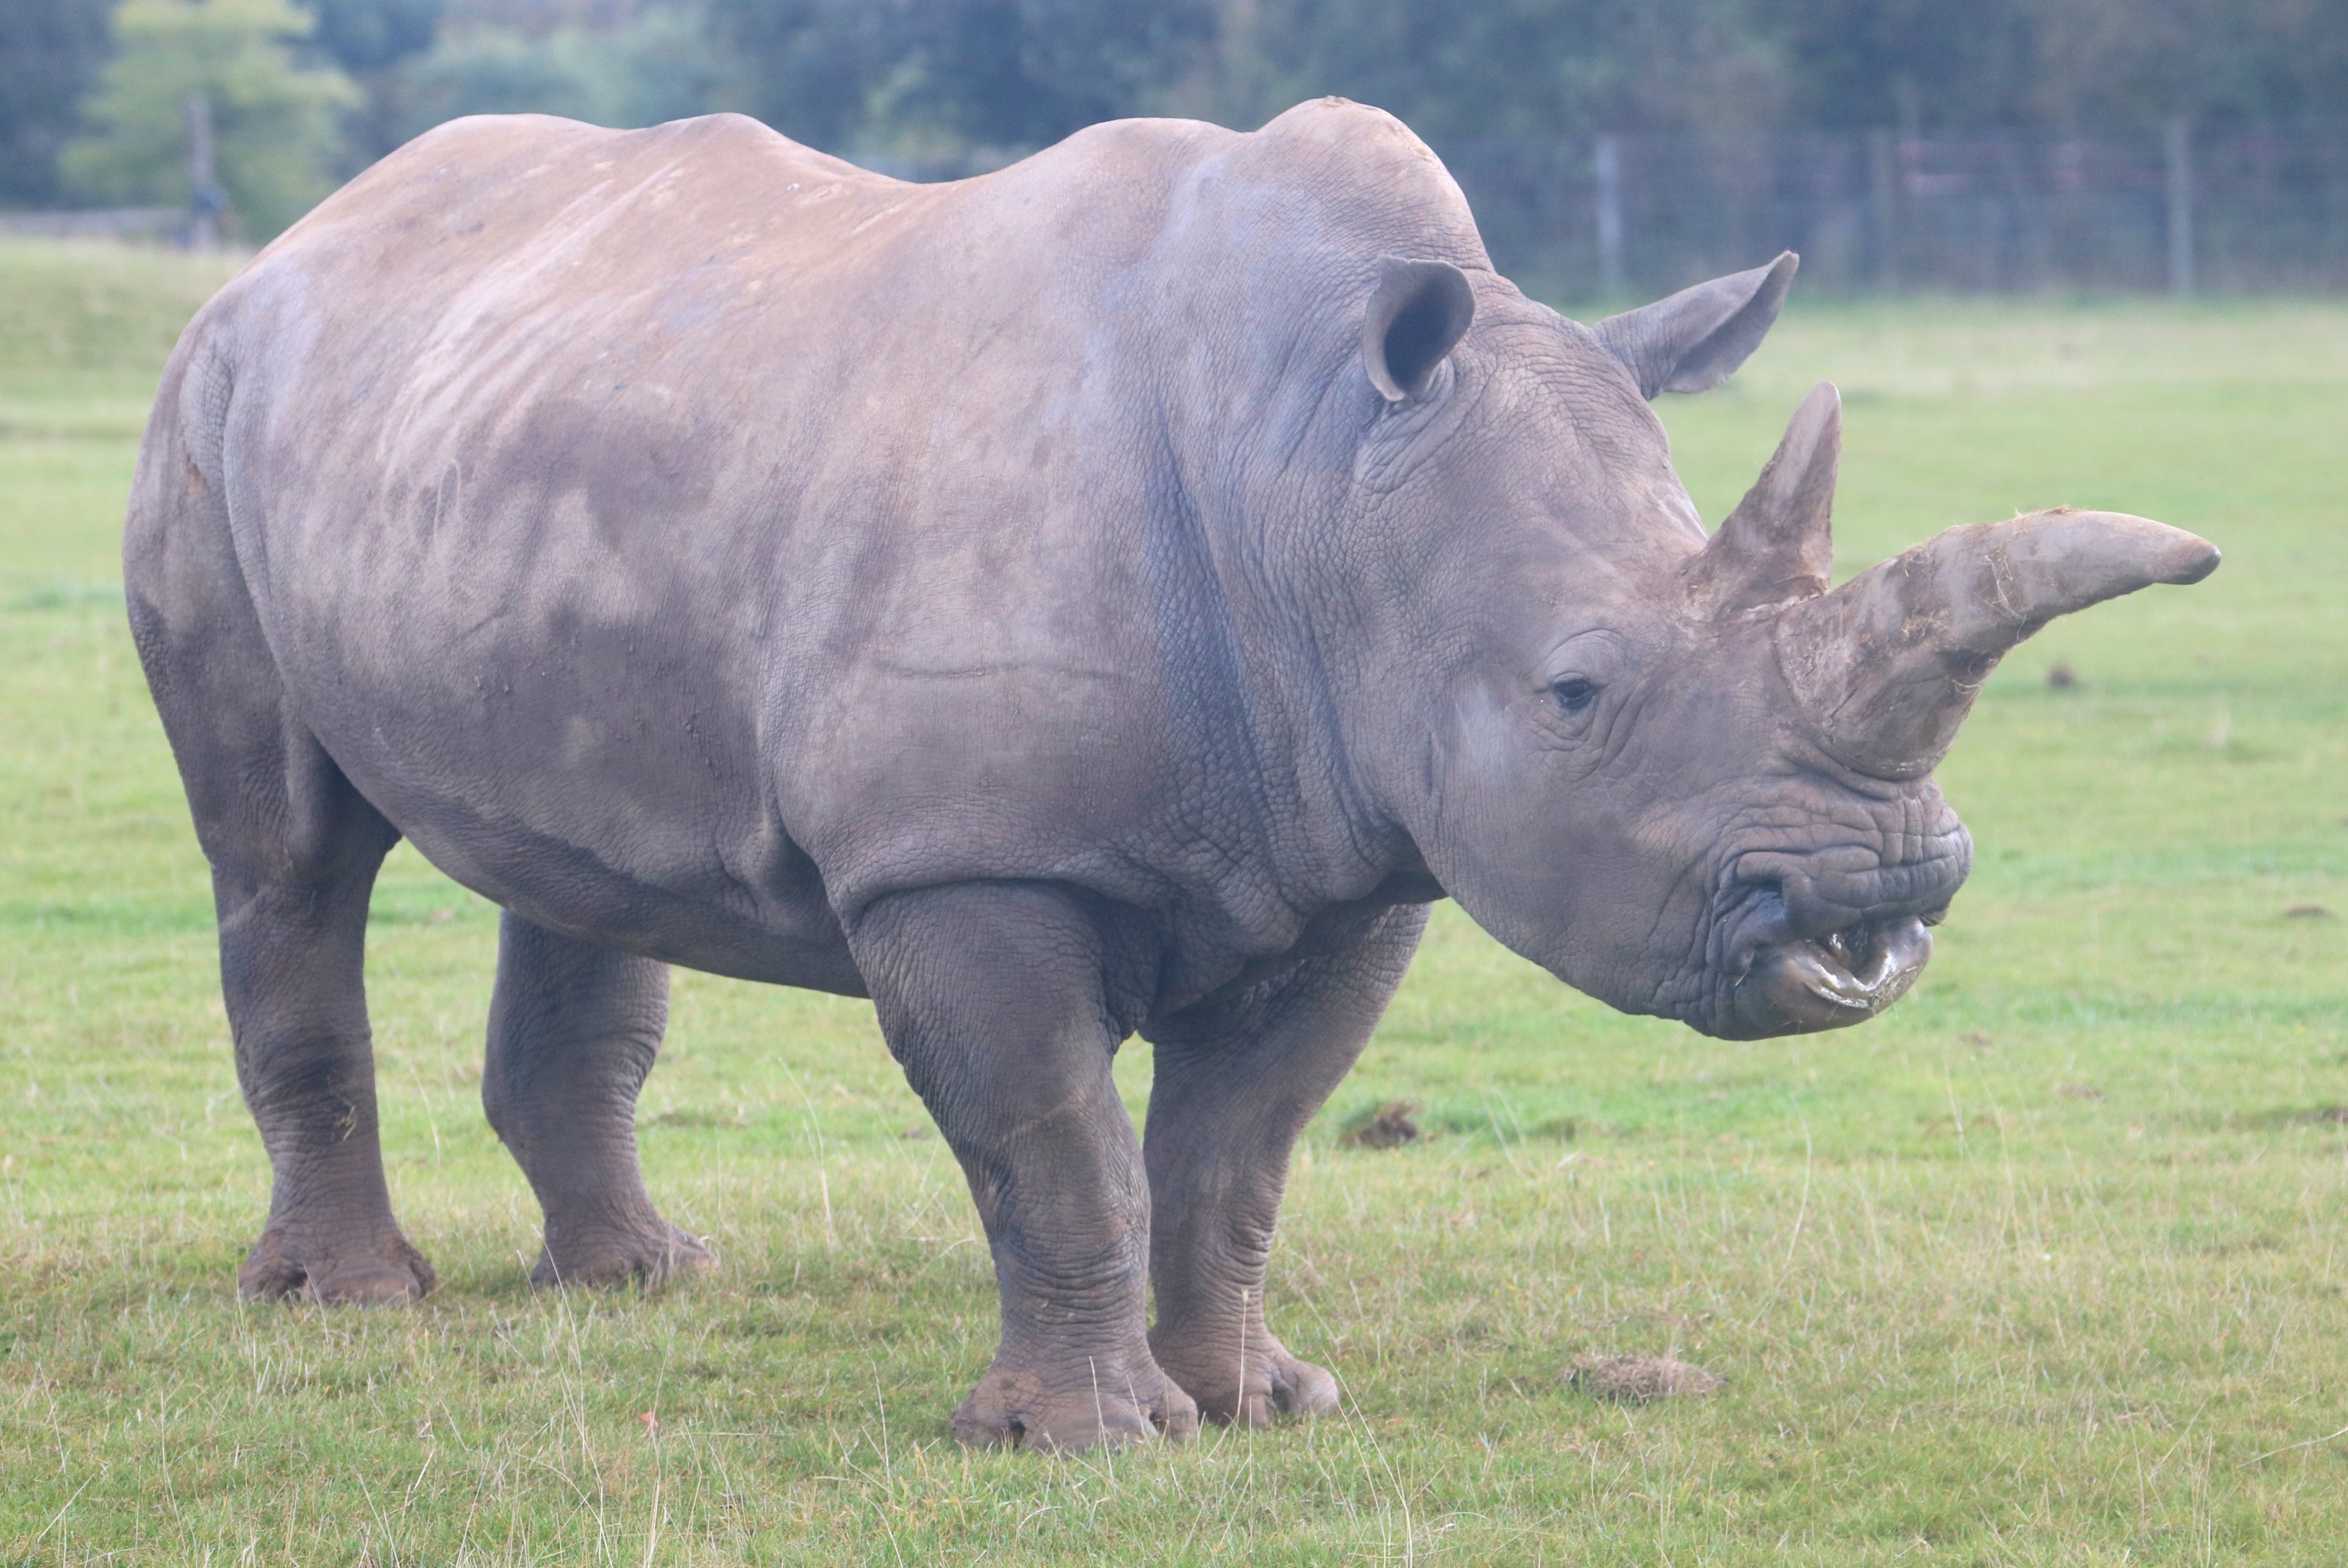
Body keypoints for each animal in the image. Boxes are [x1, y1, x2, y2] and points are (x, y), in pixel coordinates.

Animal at [126, 98, 2217, 1450]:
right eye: (1575, 691)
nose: (1879, 898)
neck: (1322, 475)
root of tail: (304, 236)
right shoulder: (964, 858)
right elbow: (1056, 1145)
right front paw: (1085, 1441)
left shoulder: (1363, 842)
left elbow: (1237, 1150)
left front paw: (1260, 1405)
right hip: (207, 404)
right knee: (284, 854)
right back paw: (356, 1304)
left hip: (515, 428)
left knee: (579, 860)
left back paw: (646, 1282)